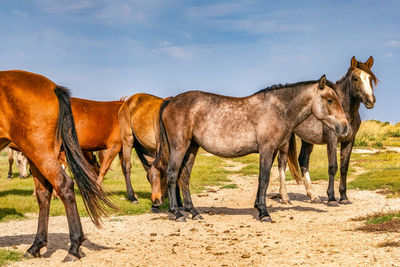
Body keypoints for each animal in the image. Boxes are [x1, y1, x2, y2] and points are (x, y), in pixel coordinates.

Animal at [0, 70, 115, 262]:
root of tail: (53, 87)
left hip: (39, 150)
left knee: (63, 185)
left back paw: (74, 247)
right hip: (36, 153)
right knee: (44, 193)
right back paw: (36, 246)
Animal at [155, 75, 348, 222]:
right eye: (330, 100)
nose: (345, 128)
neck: (278, 110)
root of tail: (171, 101)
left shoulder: (272, 151)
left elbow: (264, 179)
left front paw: (260, 208)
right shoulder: (266, 150)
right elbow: (264, 179)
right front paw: (264, 213)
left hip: (191, 148)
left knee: (184, 177)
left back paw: (194, 212)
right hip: (179, 146)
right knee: (172, 175)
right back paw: (177, 213)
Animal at [276, 57, 380, 205]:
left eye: (370, 78)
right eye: (355, 78)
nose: (370, 100)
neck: (344, 110)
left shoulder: (349, 141)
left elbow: (344, 168)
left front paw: (344, 197)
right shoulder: (332, 139)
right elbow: (333, 167)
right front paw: (331, 198)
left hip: (307, 140)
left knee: (303, 161)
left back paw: (313, 195)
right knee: (282, 162)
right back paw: (284, 196)